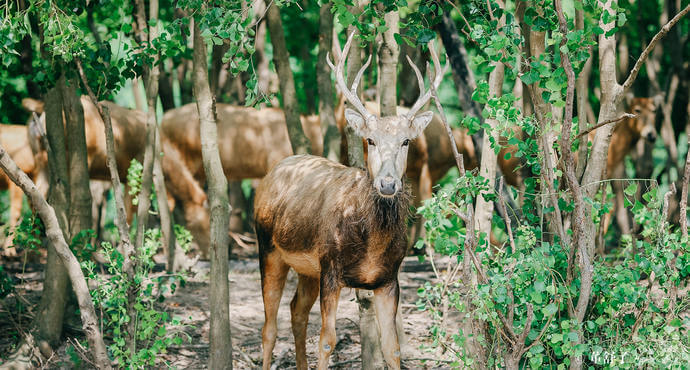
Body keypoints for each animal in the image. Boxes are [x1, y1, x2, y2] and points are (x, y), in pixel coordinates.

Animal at [253, 33, 440, 370]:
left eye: (406, 141)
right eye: (370, 140)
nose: (388, 183)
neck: (371, 245)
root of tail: (273, 171)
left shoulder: (389, 278)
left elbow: (392, 347)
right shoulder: (330, 267)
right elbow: (327, 340)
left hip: (307, 269)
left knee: (296, 311)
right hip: (268, 247)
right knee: (269, 327)